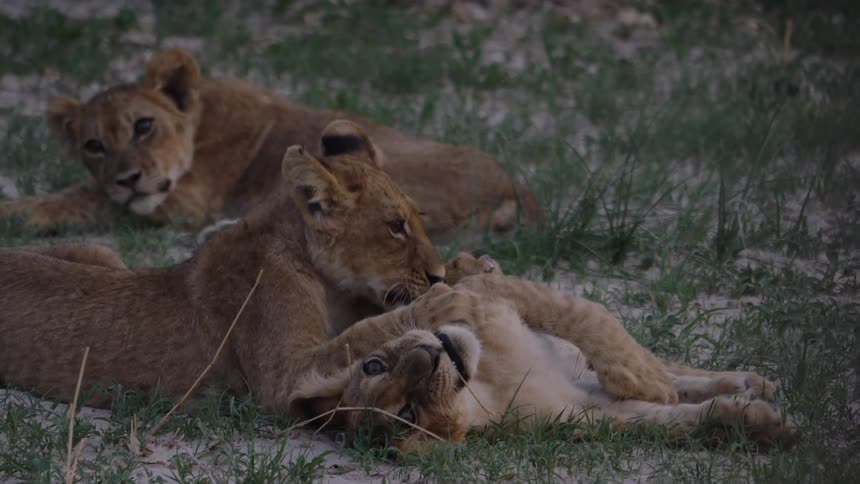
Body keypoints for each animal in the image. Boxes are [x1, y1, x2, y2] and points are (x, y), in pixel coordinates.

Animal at [0, 48, 541, 242]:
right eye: (93, 145)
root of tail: (515, 190)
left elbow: (86, 198)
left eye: (143, 126)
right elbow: (89, 191)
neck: (200, 124)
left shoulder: (185, 200)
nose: (128, 179)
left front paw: (19, 212)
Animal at [287, 254, 795, 453]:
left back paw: (750, 380)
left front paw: (642, 376)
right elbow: (670, 422)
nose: (429, 356)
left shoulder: (487, 296)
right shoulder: (589, 412)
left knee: (667, 366)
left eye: (374, 363)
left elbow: (587, 316)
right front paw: (760, 425)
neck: (487, 386)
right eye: (407, 415)